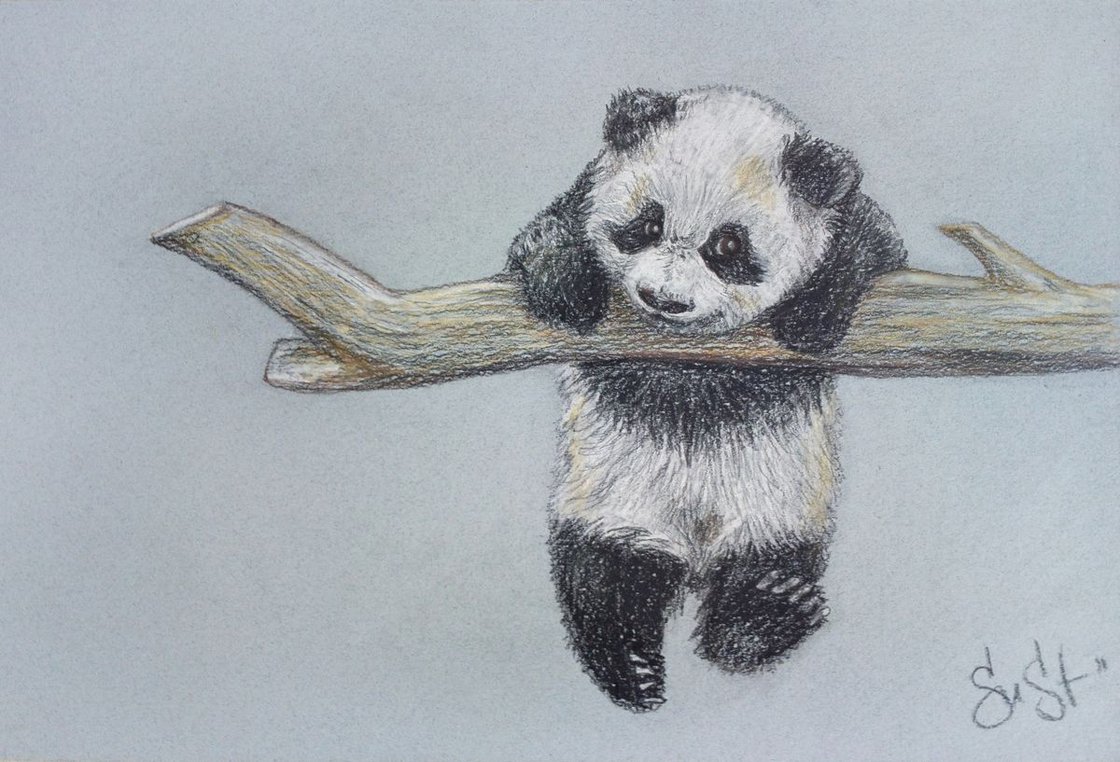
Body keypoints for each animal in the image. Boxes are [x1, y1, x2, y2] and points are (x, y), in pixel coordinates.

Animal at [505, 86, 906, 712]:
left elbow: (873, 247)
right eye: (646, 225)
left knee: (764, 566)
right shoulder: (578, 199)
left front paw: (810, 319)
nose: (663, 299)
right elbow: (542, 238)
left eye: (727, 244)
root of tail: (695, 549)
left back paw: (766, 614)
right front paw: (566, 284)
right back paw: (632, 666)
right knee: (602, 575)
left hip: (780, 504)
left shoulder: (850, 225)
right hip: (612, 499)